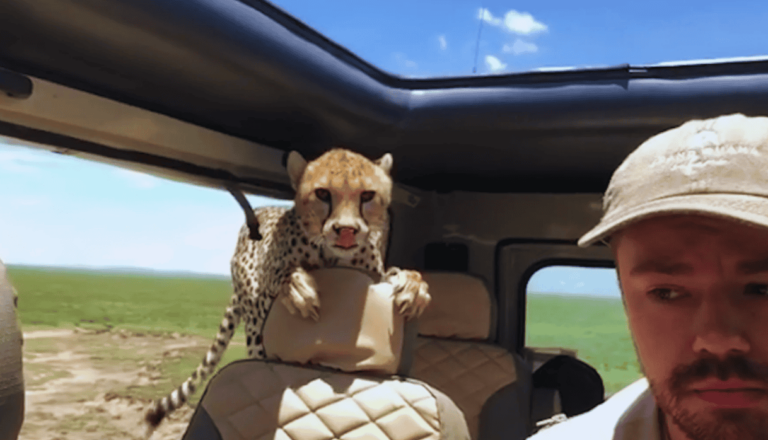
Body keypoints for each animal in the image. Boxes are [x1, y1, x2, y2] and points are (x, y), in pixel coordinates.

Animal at [142, 148, 431, 437]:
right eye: (322, 193)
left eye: (368, 196)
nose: (346, 231)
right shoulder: (267, 287)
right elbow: (281, 274)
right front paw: (298, 288)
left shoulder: (375, 273)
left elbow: (397, 275)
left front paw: (414, 286)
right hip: (254, 326)